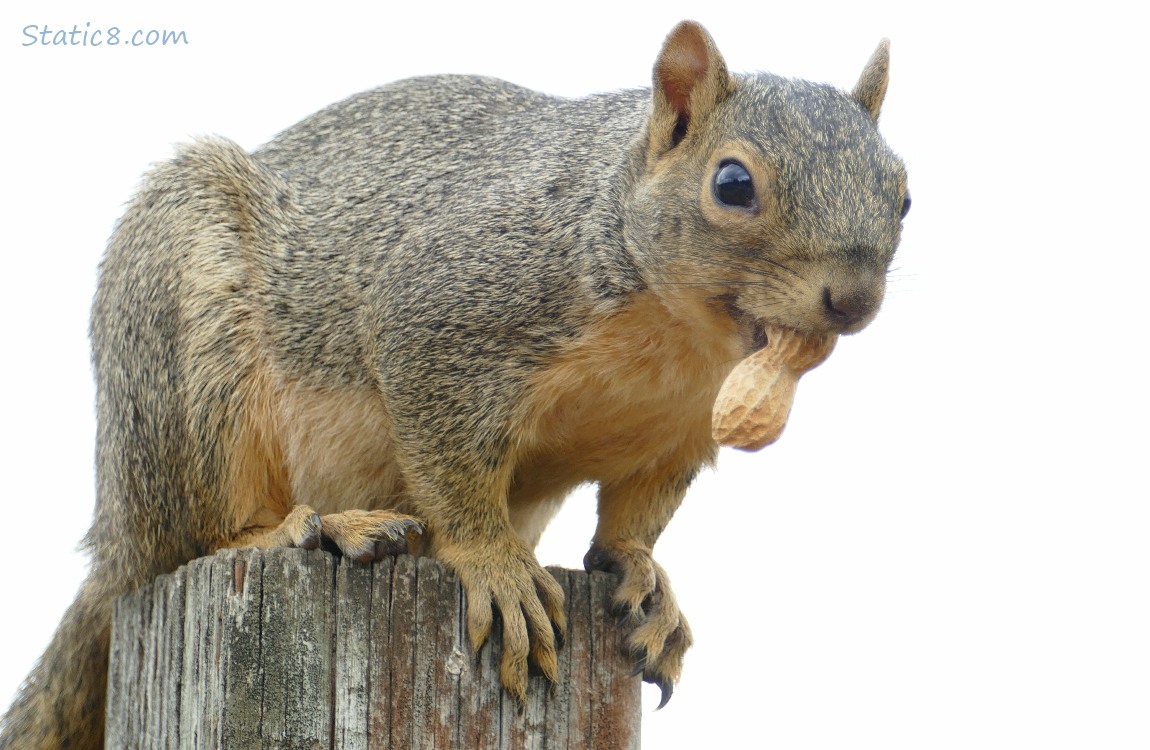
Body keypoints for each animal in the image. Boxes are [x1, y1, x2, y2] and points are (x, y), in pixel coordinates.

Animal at [0, 18, 906, 750]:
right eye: (732, 184)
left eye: (903, 192)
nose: (853, 300)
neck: (673, 338)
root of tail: (114, 531)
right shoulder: (440, 319)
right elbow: (451, 465)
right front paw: (494, 565)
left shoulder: (676, 430)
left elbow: (638, 515)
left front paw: (643, 575)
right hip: (186, 348)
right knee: (195, 537)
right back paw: (316, 527)